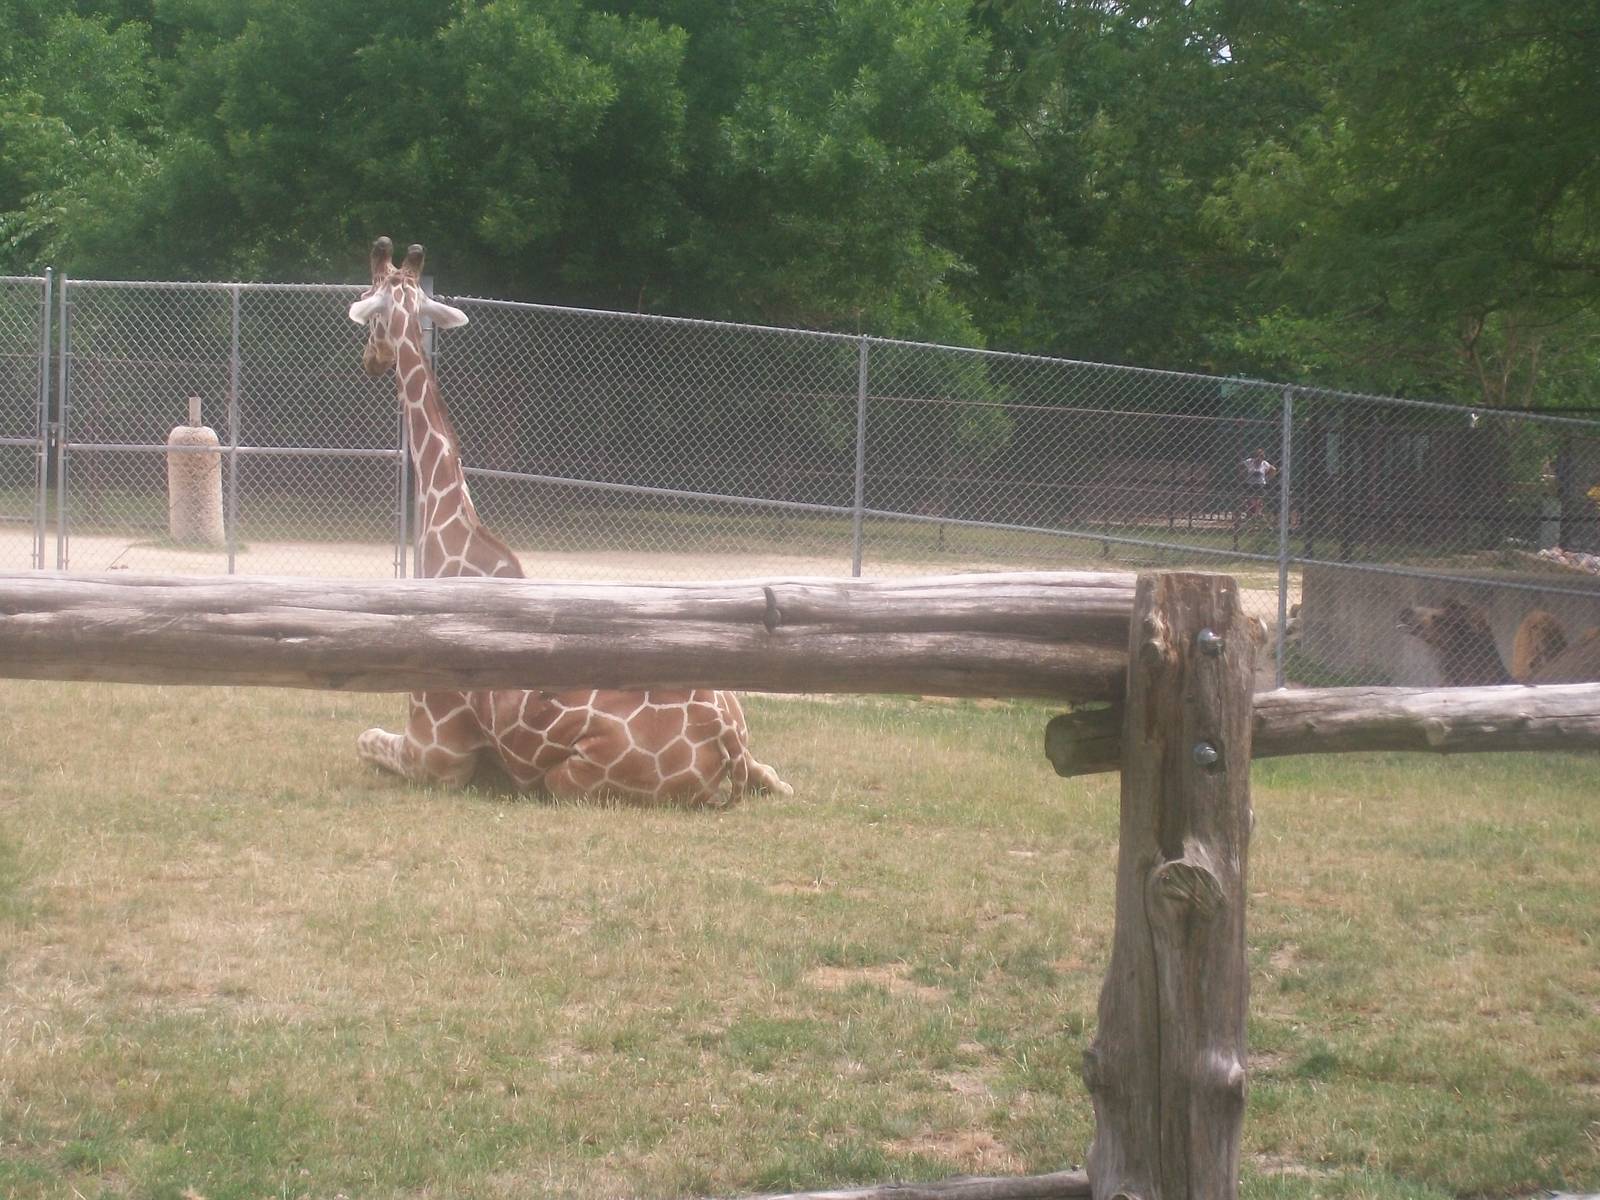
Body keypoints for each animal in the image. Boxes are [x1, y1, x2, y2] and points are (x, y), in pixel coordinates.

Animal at [347, 237, 792, 805]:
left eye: (368, 305)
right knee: (780, 779)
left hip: (565, 780)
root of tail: (728, 751)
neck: (451, 543)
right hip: (753, 747)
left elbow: (364, 738)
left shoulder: (437, 754)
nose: (371, 362)